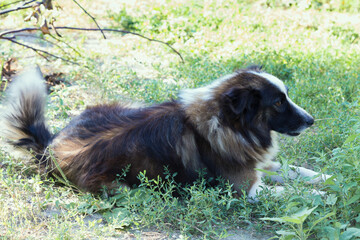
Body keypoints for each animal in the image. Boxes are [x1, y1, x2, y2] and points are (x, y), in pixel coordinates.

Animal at [0, 65, 330, 201]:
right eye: (278, 102)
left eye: (286, 97)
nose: (311, 120)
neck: (226, 122)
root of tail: (49, 147)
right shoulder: (243, 189)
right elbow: (288, 191)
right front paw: (322, 197)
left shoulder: (258, 164)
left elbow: (296, 170)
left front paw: (328, 179)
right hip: (121, 187)